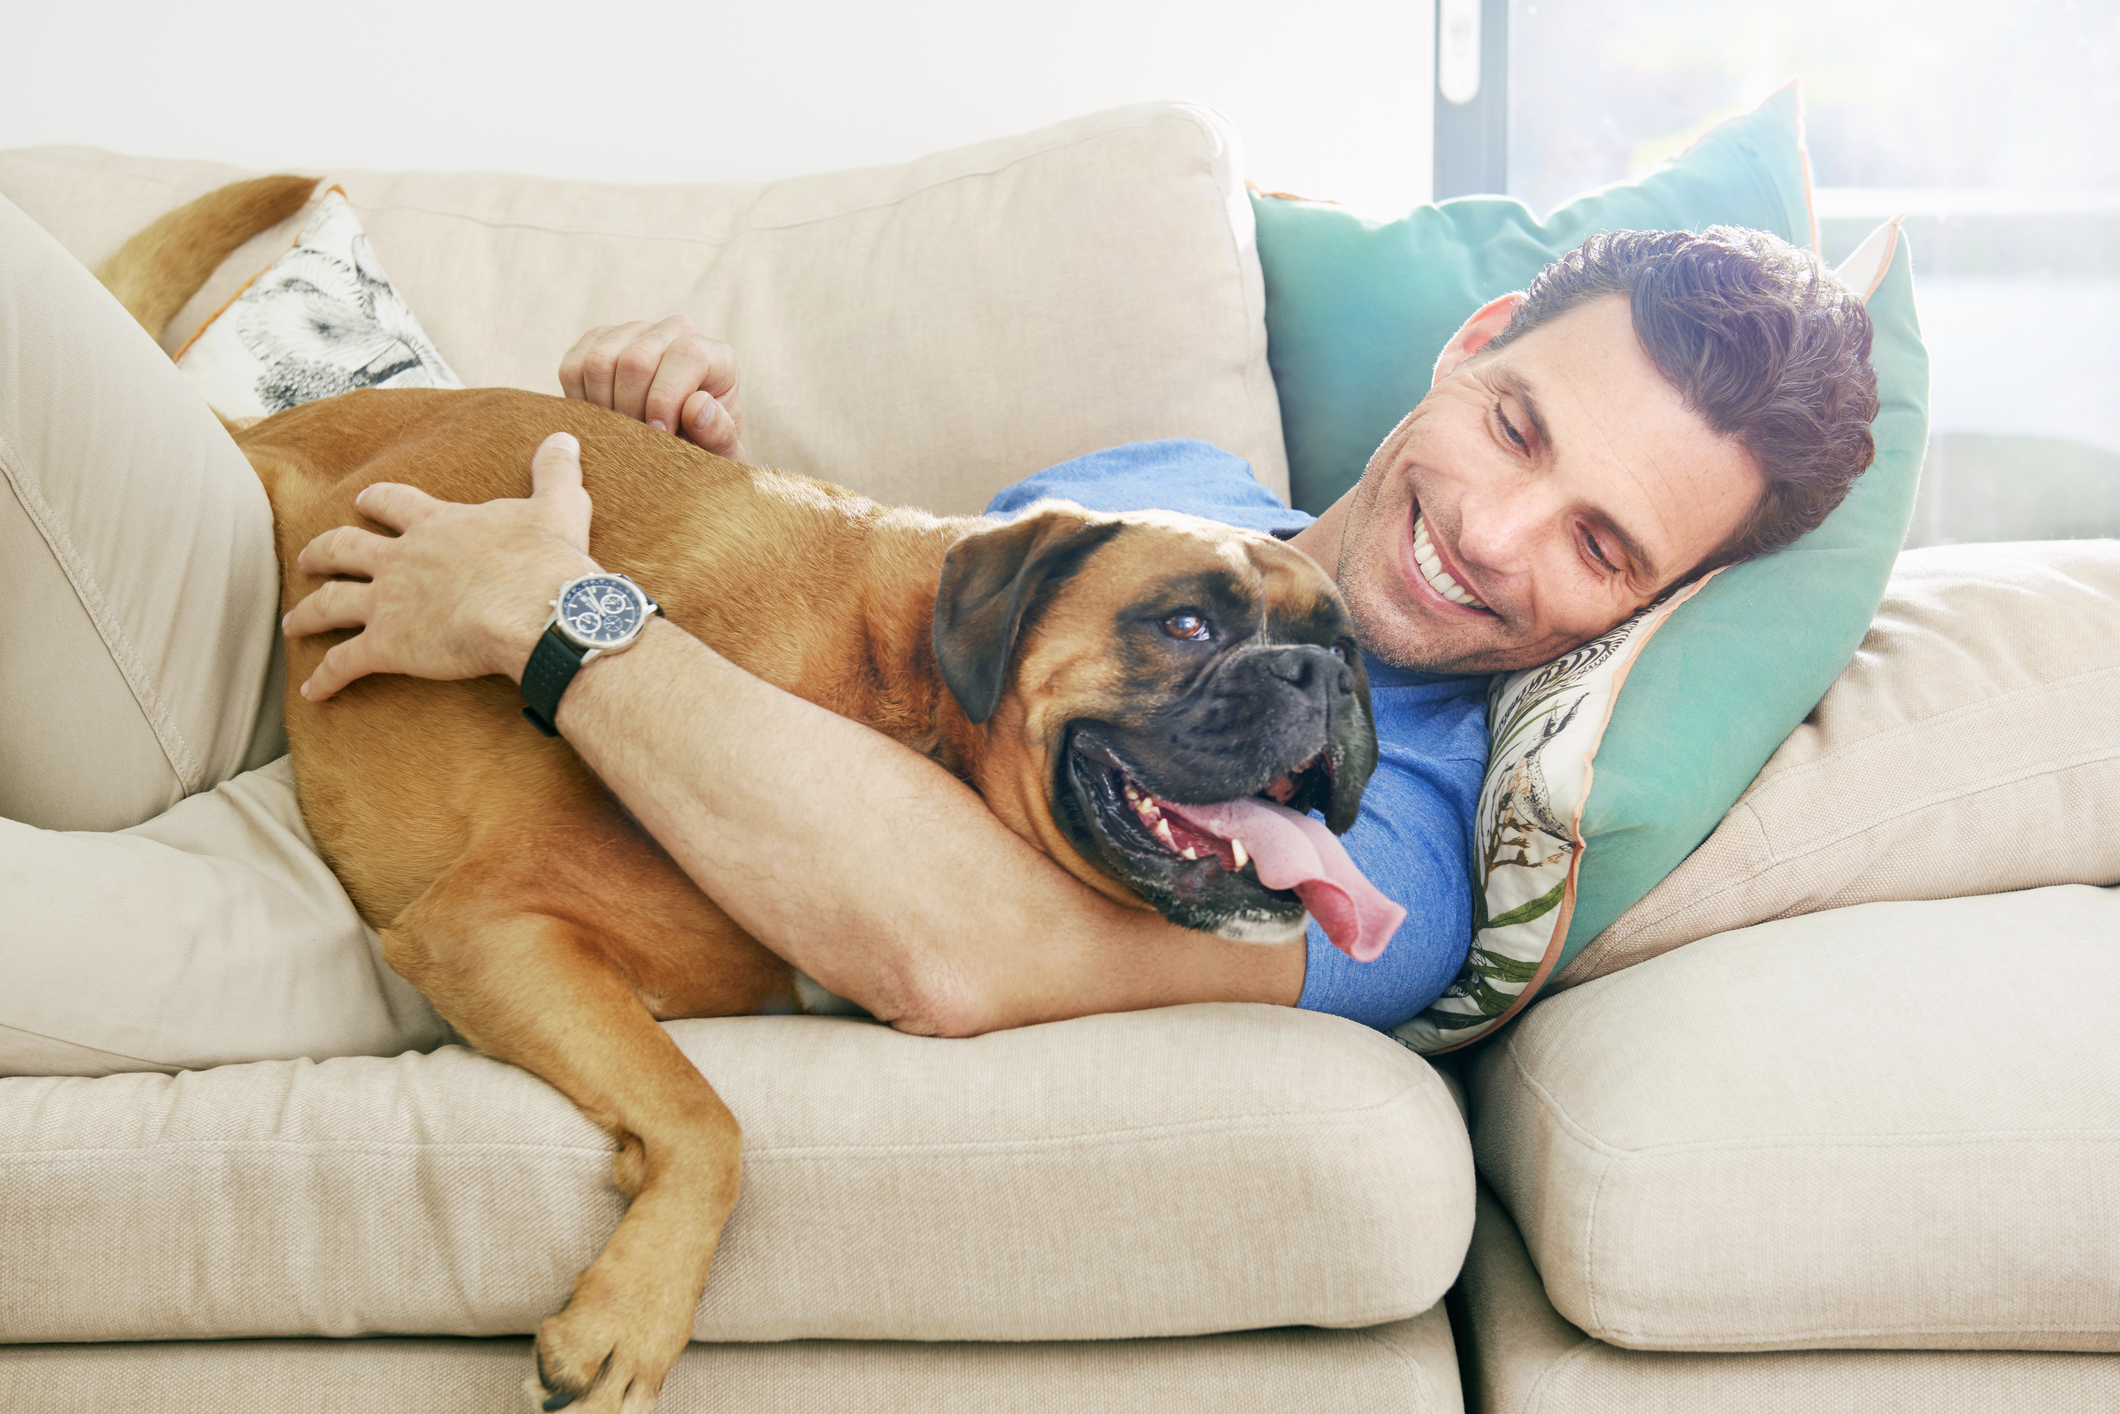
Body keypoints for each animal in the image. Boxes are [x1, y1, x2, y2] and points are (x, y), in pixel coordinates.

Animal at [99, 180, 1399, 1414]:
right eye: (1183, 625)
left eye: (1350, 648)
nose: (1321, 674)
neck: (907, 698)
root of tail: (260, 423)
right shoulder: (489, 926)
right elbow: (711, 1119)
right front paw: (629, 1317)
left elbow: (696, 1110)